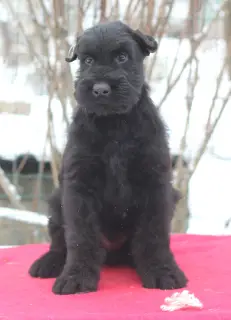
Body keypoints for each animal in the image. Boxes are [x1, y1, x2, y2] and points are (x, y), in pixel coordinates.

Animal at [28, 20, 188, 296]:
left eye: (122, 57)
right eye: (88, 60)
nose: (100, 89)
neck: (114, 124)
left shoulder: (155, 183)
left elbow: (154, 235)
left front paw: (162, 271)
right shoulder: (79, 186)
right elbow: (80, 237)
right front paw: (76, 277)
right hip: (57, 200)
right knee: (59, 241)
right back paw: (48, 262)